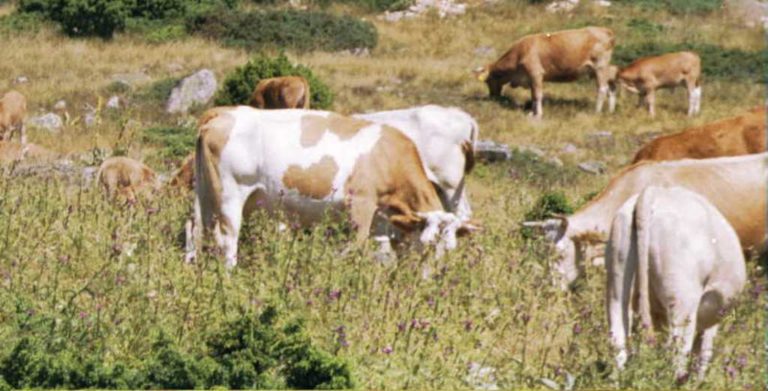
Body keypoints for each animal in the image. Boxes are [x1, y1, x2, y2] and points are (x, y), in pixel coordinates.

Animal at [190, 105, 474, 268]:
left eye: (450, 249)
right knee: (227, 239)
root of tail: (223, 114)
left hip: (206, 193)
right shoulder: (361, 203)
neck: (388, 155)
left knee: (196, 228)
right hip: (230, 194)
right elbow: (354, 246)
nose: (427, 280)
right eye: (426, 244)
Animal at [472, 26, 616, 118]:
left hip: (600, 67)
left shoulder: (536, 73)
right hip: (602, 70)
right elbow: (533, 95)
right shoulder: (530, 78)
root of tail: (605, 30)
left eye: (488, 80)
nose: (492, 96)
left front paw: (538, 114)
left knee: (602, 89)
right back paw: (610, 111)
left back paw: (596, 112)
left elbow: (537, 95)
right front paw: (532, 112)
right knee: (611, 88)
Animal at [608, 187, 744, 382]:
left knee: (618, 338)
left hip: (618, 276)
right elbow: (704, 353)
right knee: (677, 353)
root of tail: (654, 192)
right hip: (683, 300)